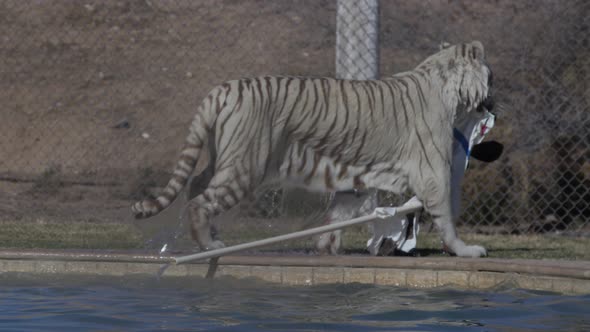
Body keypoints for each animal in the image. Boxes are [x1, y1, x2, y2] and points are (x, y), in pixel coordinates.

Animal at [133, 41, 494, 258]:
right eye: (491, 76)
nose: (494, 100)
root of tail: (224, 87)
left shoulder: (358, 175)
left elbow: (340, 212)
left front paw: (326, 245)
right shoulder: (433, 171)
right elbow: (445, 214)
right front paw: (465, 250)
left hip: (224, 157)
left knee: (195, 184)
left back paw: (209, 237)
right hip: (243, 166)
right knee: (199, 201)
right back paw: (209, 244)